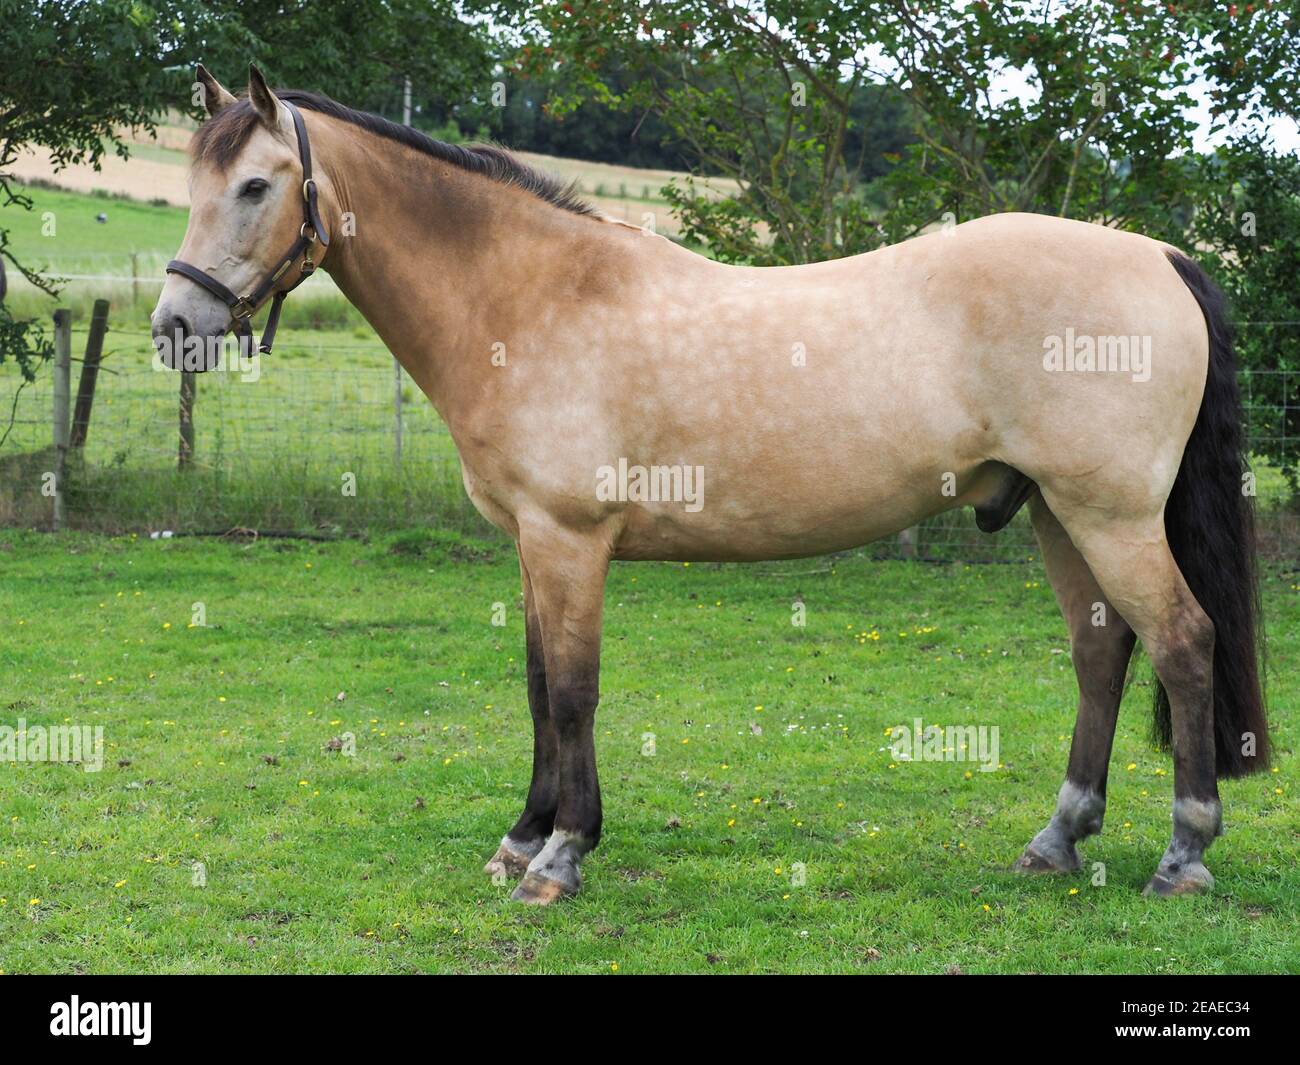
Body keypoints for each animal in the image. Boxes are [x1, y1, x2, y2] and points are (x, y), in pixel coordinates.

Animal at [152, 65, 1269, 904]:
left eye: (255, 187)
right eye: (196, 185)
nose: (175, 326)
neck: (535, 297)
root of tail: (1160, 255)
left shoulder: (569, 539)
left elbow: (571, 692)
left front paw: (561, 856)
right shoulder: (531, 544)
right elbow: (533, 685)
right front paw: (522, 837)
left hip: (1109, 514)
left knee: (1182, 642)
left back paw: (1183, 855)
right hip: (1056, 516)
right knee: (1101, 653)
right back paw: (1057, 839)